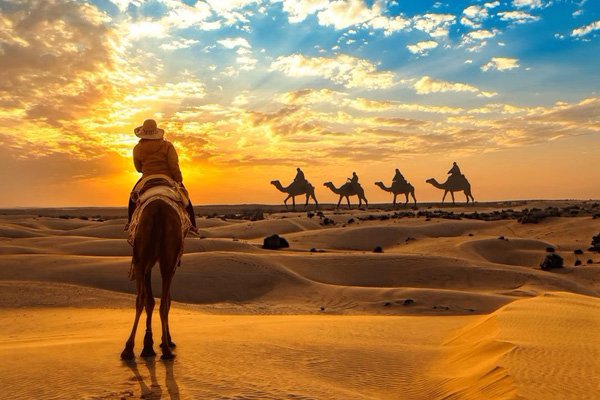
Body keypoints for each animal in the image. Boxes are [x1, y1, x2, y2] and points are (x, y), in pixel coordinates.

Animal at [119, 199, 180, 360]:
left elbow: (150, 301)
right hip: (163, 259)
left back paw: (129, 349)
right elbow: (159, 300)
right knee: (161, 302)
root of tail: (158, 212)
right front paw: (158, 342)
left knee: (142, 298)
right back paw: (165, 349)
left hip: (143, 258)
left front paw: (149, 345)